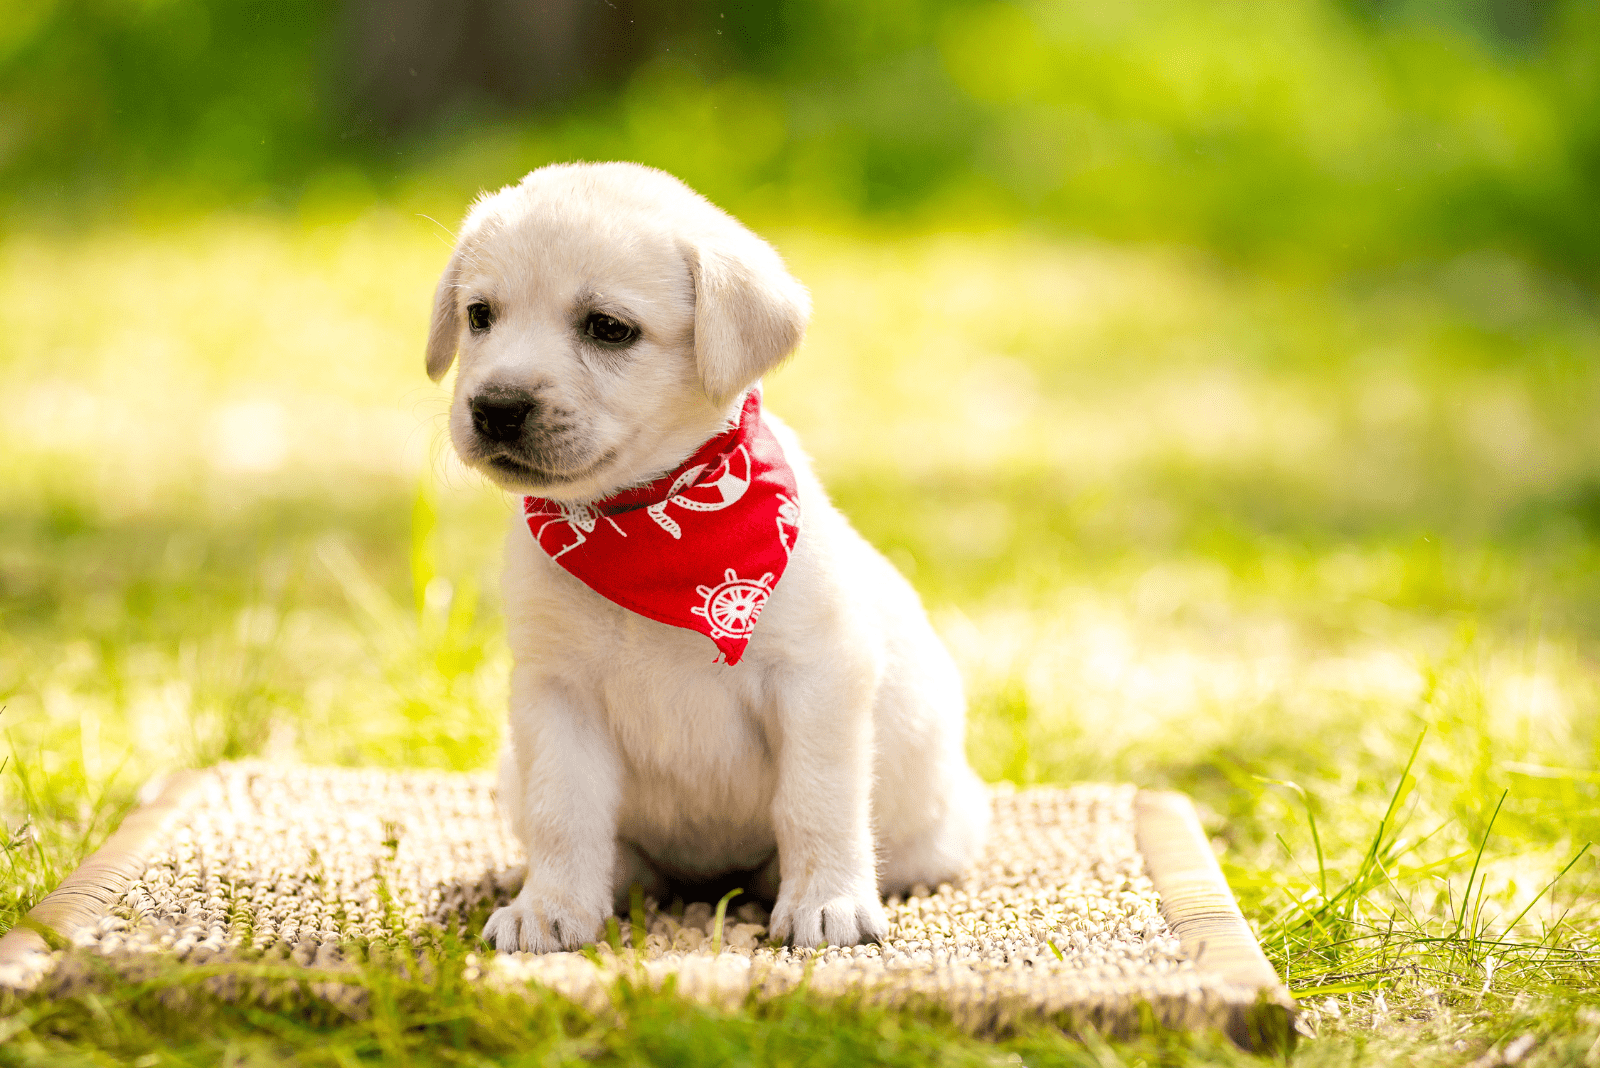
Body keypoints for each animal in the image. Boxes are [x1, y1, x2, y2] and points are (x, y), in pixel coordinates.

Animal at [428, 160, 985, 952]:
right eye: (480, 316)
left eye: (609, 329)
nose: (496, 407)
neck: (643, 529)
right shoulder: (556, 693)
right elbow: (563, 813)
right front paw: (551, 906)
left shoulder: (817, 677)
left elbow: (816, 799)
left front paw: (828, 899)